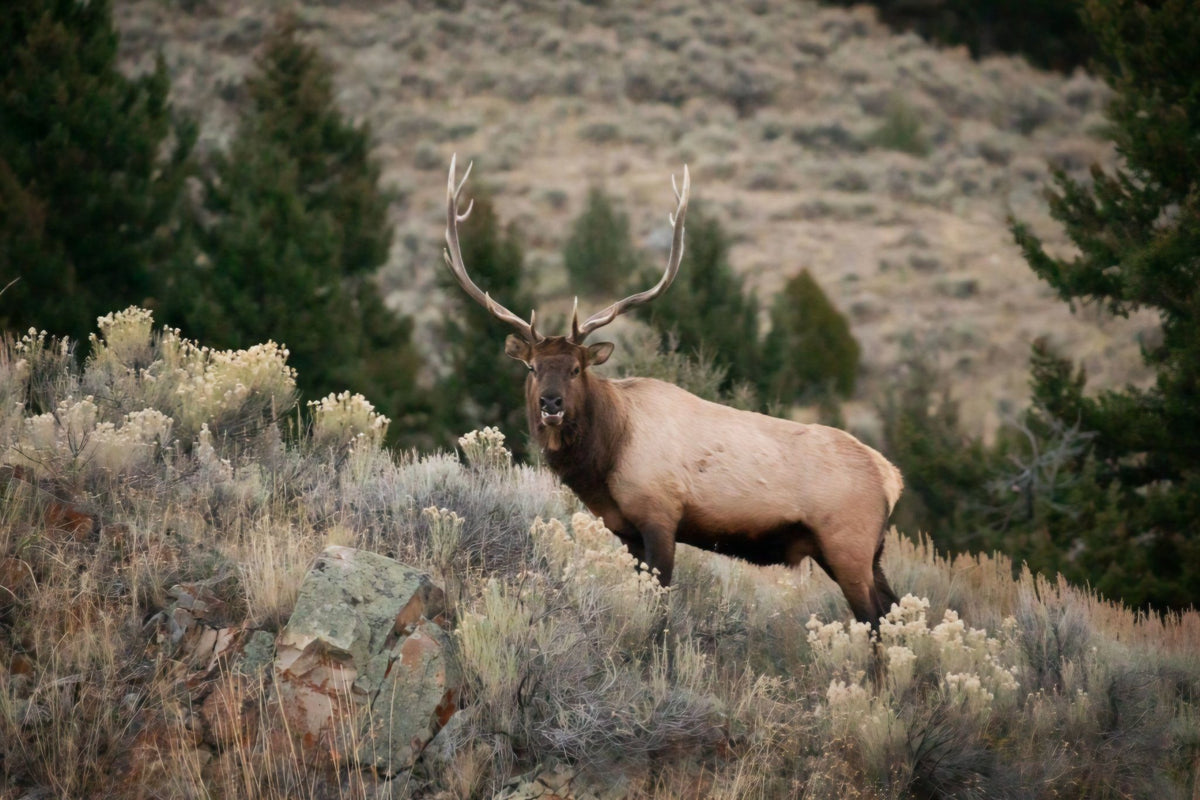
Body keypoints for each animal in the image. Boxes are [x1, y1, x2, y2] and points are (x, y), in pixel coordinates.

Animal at [442, 155, 903, 626]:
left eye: (575, 368)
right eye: (533, 367)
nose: (550, 404)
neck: (607, 456)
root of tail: (892, 477)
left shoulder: (660, 514)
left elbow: (660, 606)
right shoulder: (624, 528)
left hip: (848, 543)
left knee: (876, 620)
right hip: (868, 553)